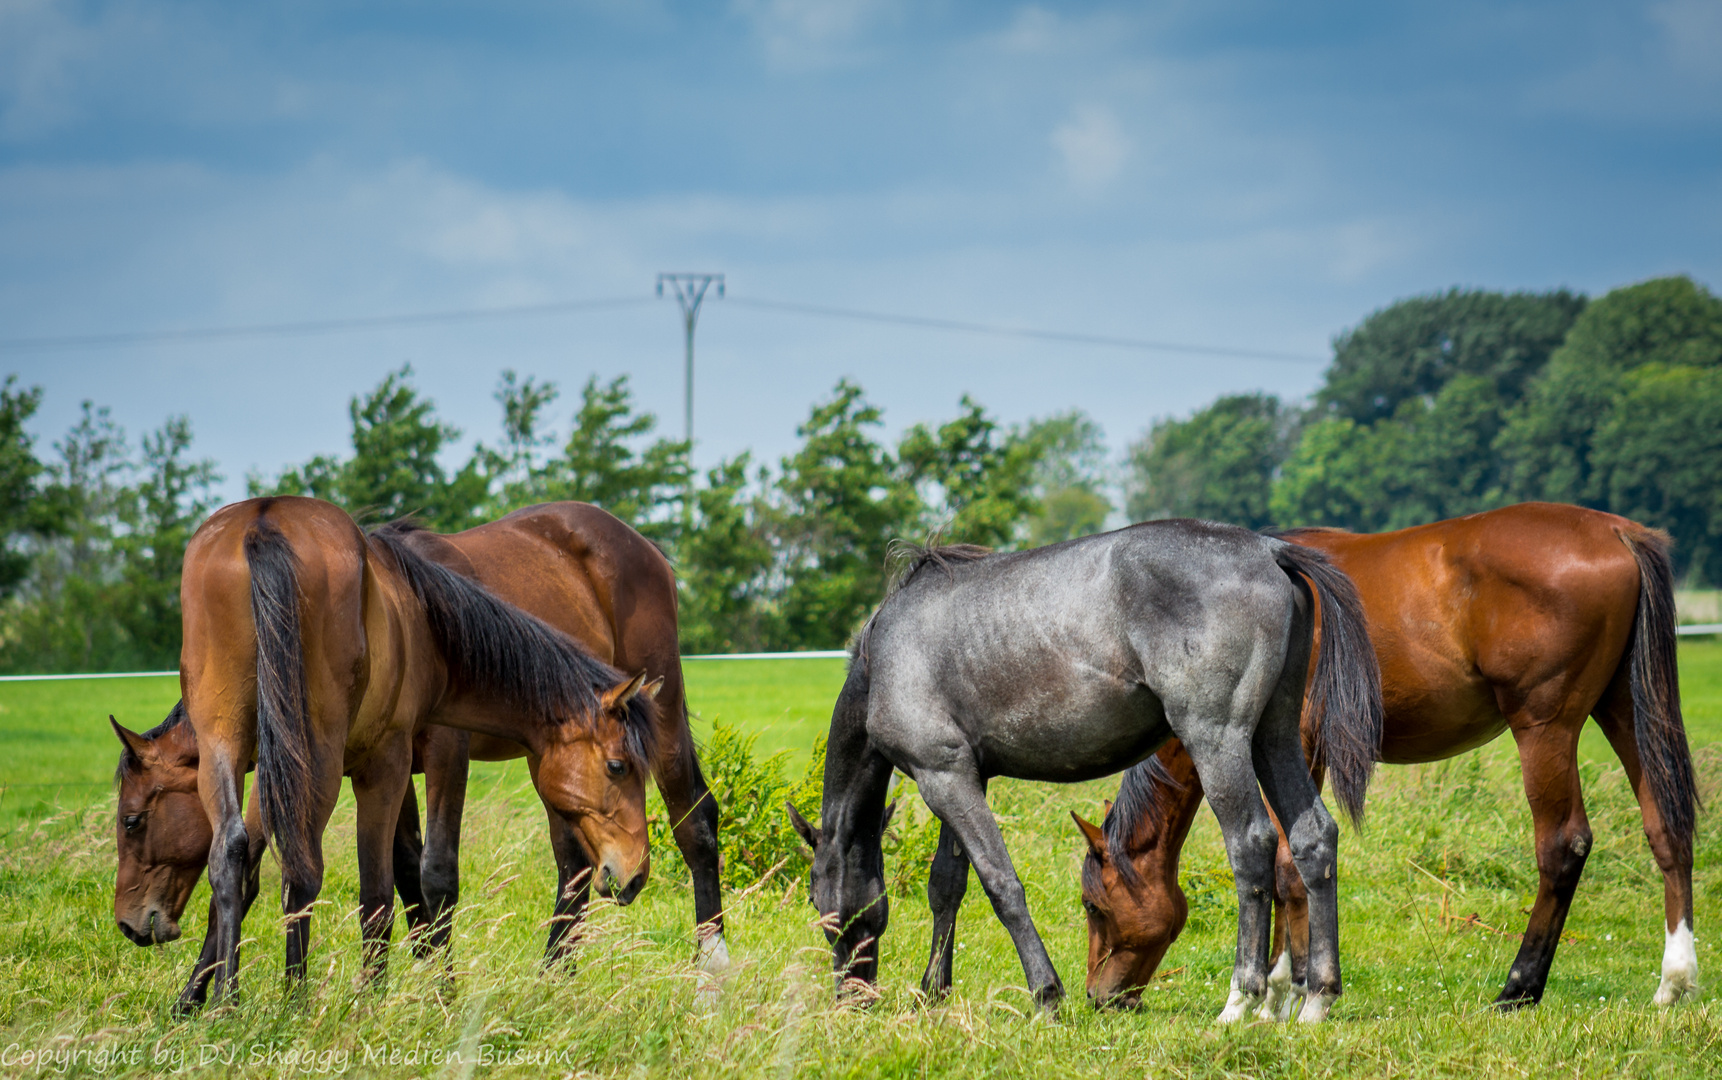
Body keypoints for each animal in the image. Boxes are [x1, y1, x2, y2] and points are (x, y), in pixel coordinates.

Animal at [107, 506, 726, 978]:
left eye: (132, 820)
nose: (129, 923)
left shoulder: (433, 754)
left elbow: (432, 875)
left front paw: (434, 989)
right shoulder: (386, 763)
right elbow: (400, 878)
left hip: (661, 722)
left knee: (694, 823)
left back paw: (710, 969)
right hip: (546, 766)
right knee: (572, 867)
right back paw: (555, 977)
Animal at [781, 520, 1384, 1019]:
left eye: (816, 902)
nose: (852, 995)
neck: (885, 658)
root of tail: (1268, 551)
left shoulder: (943, 778)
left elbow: (1001, 885)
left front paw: (1045, 994)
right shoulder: (962, 778)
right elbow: (947, 886)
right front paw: (934, 992)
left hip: (1218, 741)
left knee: (1253, 846)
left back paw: (1240, 1000)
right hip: (1274, 738)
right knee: (1312, 838)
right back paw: (1316, 998)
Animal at [1074, 506, 1694, 1012]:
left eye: (1093, 906)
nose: (1099, 998)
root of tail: (1617, 531)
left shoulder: (1298, 747)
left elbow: (1287, 866)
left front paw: (1282, 993)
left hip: (1545, 727)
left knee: (1563, 846)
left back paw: (1518, 988)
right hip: (1624, 710)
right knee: (1667, 828)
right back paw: (1675, 980)